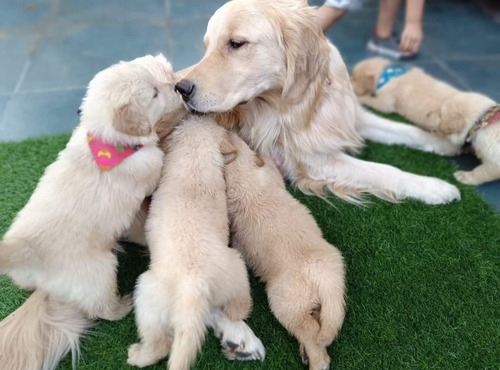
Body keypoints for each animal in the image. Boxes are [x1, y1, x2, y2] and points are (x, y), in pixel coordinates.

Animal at [0, 53, 182, 368]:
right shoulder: (151, 166)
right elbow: (159, 153)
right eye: (155, 93)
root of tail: (23, 253)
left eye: (164, 75)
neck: (109, 142)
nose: (178, 85)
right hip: (100, 271)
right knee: (101, 309)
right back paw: (123, 304)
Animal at [127, 117, 258, 370]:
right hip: (232, 269)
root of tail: (193, 288)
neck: (195, 159)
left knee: (159, 344)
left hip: (146, 293)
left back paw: (136, 355)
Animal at [176, 0, 460, 205]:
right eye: (207, 47)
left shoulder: (351, 116)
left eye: (236, 43)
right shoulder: (315, 161)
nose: (182, 89)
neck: (311, 98)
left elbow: (408, 131)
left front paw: (443, 143)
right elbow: (386, 170)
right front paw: (435, 187)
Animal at [225, 133, 346, 370]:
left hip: (285, 303)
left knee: (311, 333)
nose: (233, 133)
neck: (247, 179)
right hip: (327, 295)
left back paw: (315, 361)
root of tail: (324, 280)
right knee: (317, 323)